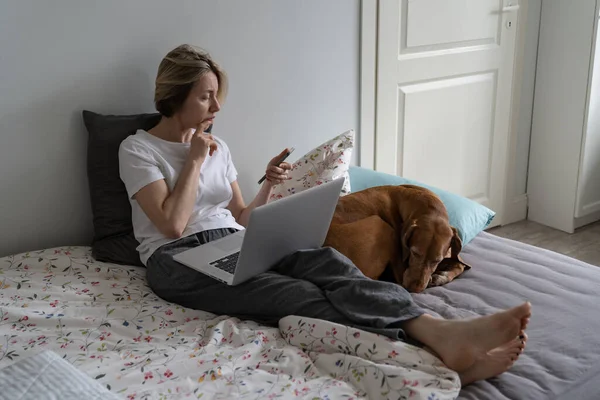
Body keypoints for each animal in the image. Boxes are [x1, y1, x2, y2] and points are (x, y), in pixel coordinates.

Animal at [324, 184, 468, 290]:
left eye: (436, 260)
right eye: (414, 253)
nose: (414, 289)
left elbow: (459, 264)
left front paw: (442, 276)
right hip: (385, 228)